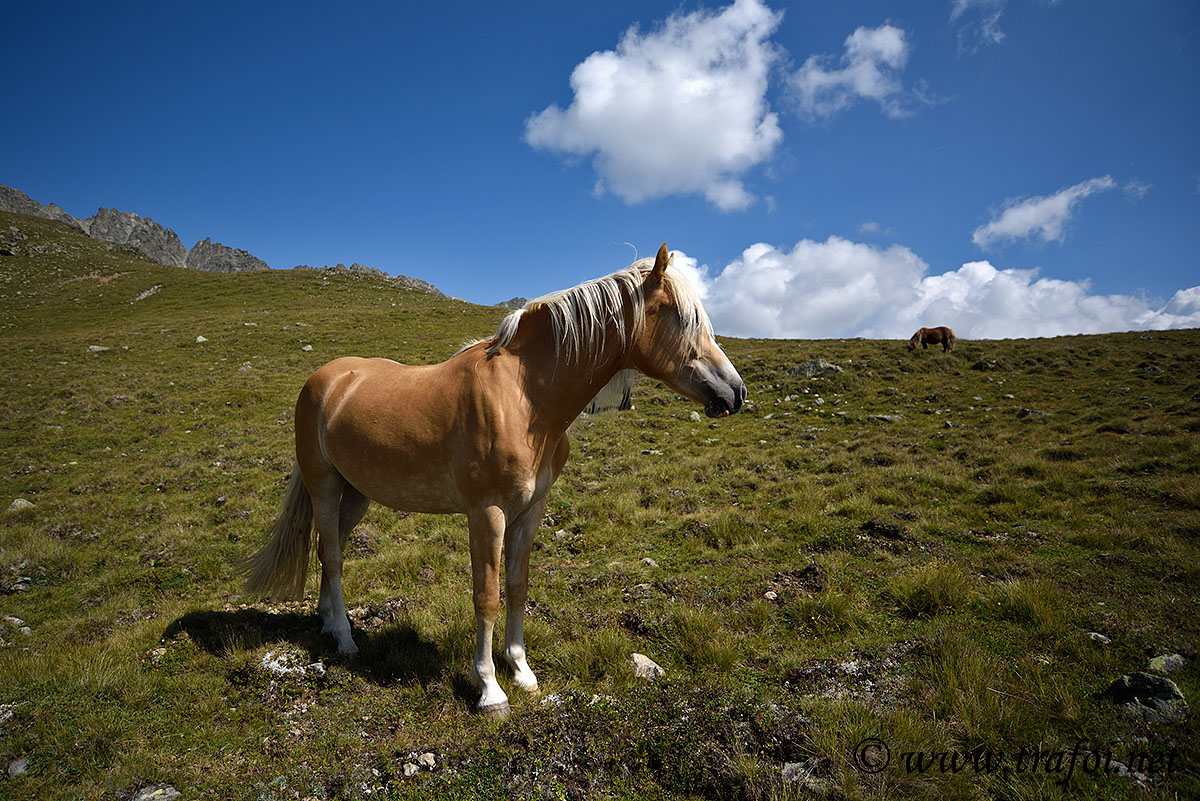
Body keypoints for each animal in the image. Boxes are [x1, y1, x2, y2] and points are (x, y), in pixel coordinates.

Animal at [244, 242, 744, 714]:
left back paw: (330, 624)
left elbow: (517, 588)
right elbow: (486, 596)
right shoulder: (487, 513)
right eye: (682, 316)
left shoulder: (530, 511)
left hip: (357, 494)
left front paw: (521, 671)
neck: (524, 396)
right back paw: (346, 640)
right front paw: (489, 690)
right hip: (325, 486)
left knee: (329, 552)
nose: (734, 392)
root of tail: (327, 379)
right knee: (331, 555)